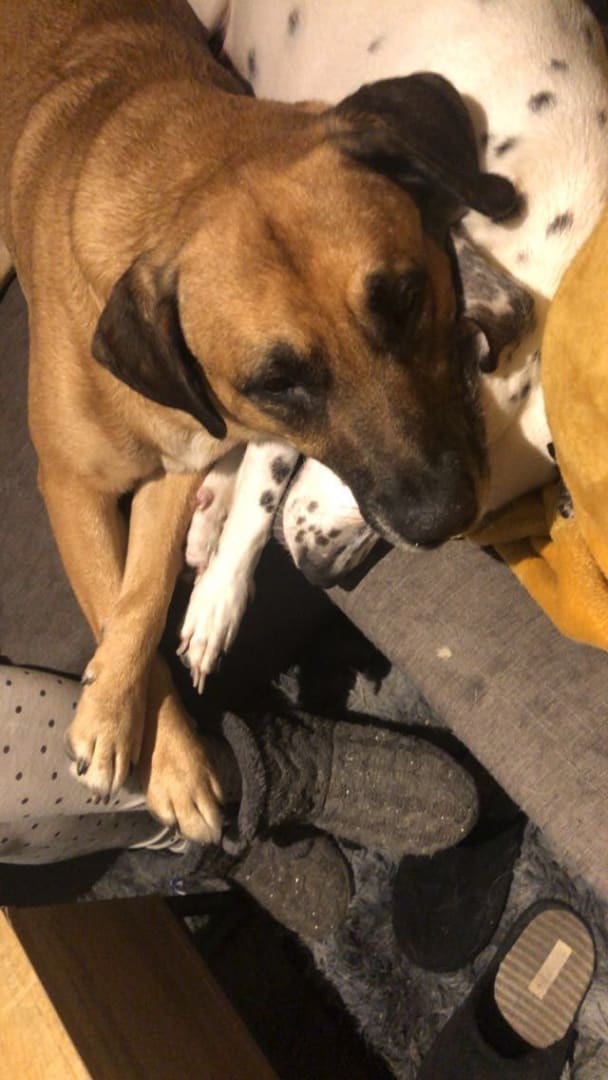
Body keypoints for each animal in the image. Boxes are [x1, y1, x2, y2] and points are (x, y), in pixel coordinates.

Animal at [0, 0, 516, 838]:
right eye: (275, 383)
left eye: (407, 297)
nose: (446, 519)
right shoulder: (70, 485)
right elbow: (115, 599)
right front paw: (139, 740)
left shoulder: (176, 465)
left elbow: (141, 597)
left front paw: (146, 737)